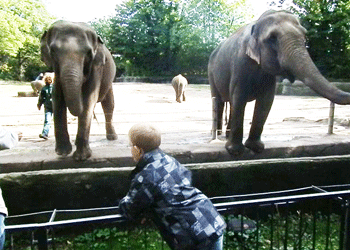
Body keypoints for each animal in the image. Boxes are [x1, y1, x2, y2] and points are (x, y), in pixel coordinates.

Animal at [40, 19, 117, 160]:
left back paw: (112, 138)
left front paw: (81, 157)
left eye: (88, 53)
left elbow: (89, 98)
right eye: (53, 51)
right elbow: (57, 97)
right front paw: (63, 153)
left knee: (109, 104)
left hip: (109, 81)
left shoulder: (97, 66)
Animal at [208, 10, 350, 156]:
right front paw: (236, 151)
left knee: (230, 103)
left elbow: (266, 101)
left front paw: (256, 148)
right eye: (272, 38)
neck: (257, 22)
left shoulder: (269, 77)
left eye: (305, 35)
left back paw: (225, 136)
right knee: (219, 101)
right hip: (211, 72)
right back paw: (217, 135)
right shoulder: (240, 63)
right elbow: (239, 98)